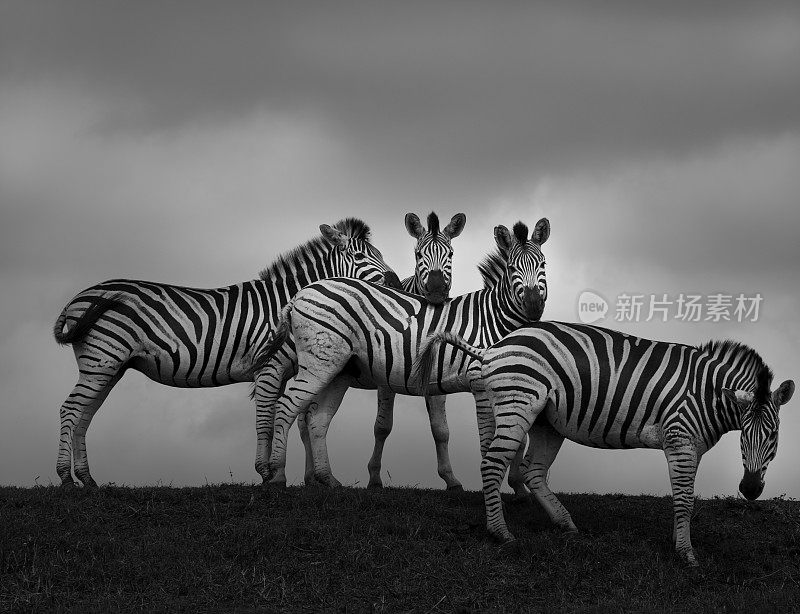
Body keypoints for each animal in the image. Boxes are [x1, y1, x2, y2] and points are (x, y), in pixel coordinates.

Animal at [52, 219, 396, 488]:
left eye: (378, 254)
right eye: (359, 255)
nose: (394, 281)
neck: (286, 302)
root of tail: (79, 297)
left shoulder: (283, 373)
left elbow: (276, 416)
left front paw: (272, 472)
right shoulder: (269, 367)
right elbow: (265, 420)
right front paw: (267, 474)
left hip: (108, 366)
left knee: (84, 415)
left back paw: (87, 479)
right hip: (102, 360)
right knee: (70, 409)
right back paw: (66, 478)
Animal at [260, 219, 552, 488]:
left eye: (543, 264)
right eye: (512, 269)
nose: (533, 306)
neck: (490, 318)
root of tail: (299, 294)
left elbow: (513, 436)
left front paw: (517, 487)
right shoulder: (478, 384)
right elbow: (487, 439)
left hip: (337, 370)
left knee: (314, 419)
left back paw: (325, 479)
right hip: (314, 364)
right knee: (284, 405)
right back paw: (277, 474)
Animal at [412, 324, 792, 572]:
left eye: (773, 435)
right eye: (744, 434)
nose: (750, 489)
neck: (705, 393)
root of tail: (492, 347)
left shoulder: (689, 446)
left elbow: (682, 497)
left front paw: (677, 542)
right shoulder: (680, 439)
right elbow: (684, 499)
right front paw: (686, 554)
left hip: (547, 421)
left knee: (533, 472)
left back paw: (566, 525)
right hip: (518, 401)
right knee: (493, 465)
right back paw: (501, 534)